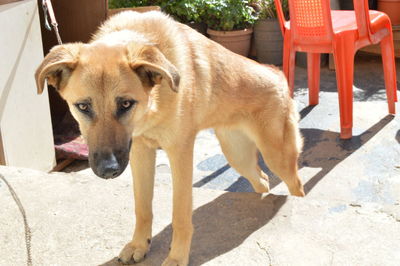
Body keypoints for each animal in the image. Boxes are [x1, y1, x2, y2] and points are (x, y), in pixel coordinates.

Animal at [35, 10, 304, 266]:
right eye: (83, 106)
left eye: (125, 104)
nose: (107, 170)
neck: (154, 102)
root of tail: (277, 73)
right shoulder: (140, 153)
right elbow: (142, 207)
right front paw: (139, 245)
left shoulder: (180, 153)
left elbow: (180, 214)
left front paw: (177, 257)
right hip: (239, 157)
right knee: (262, 179)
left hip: (277, 157)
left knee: (296, 185)